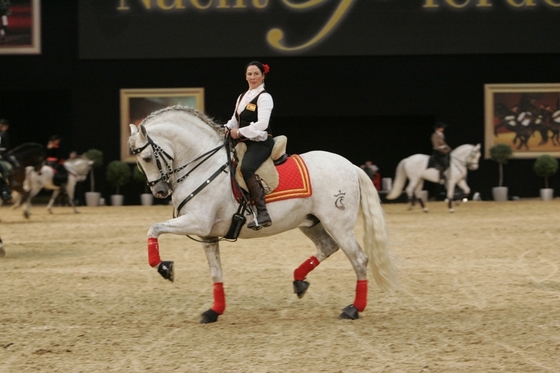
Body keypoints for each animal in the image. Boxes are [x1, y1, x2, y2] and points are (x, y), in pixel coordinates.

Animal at [128, 105, 398, 322]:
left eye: (148, 157)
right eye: (140, 162)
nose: (160, 191)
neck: (204, 167)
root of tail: (351, 165)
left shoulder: (197, 223)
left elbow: (154, 228)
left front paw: (164, 267)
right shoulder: (207, 235)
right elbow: (216, 272)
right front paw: (214, 311)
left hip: (338, 224)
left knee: (359, 259)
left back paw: (353, 309)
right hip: (311, 223)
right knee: (327, 247)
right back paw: (299, 281)